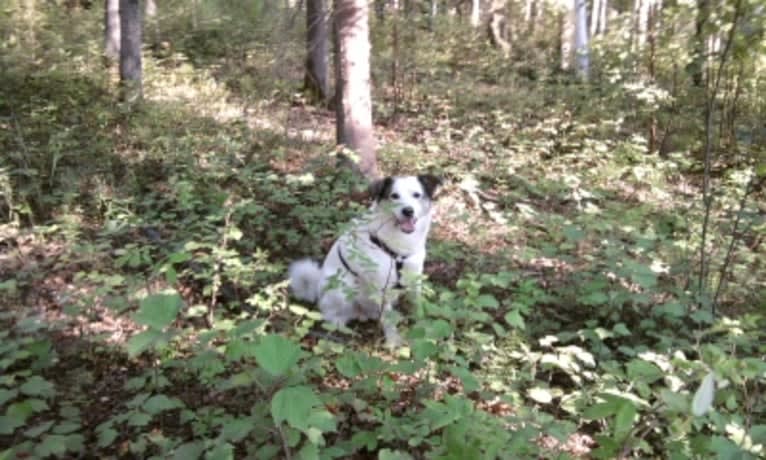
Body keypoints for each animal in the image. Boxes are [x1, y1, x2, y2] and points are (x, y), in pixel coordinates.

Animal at [290, 174, 444, 346]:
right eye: (394, 196)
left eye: (417, 195)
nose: (408, 211)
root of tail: (317, 288)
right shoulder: (382, 287)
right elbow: (388, 320)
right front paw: (393, 341)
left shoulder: (414, 278)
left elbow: (417, 306)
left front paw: (424, 328)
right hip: (341, 289)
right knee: (330, 315)